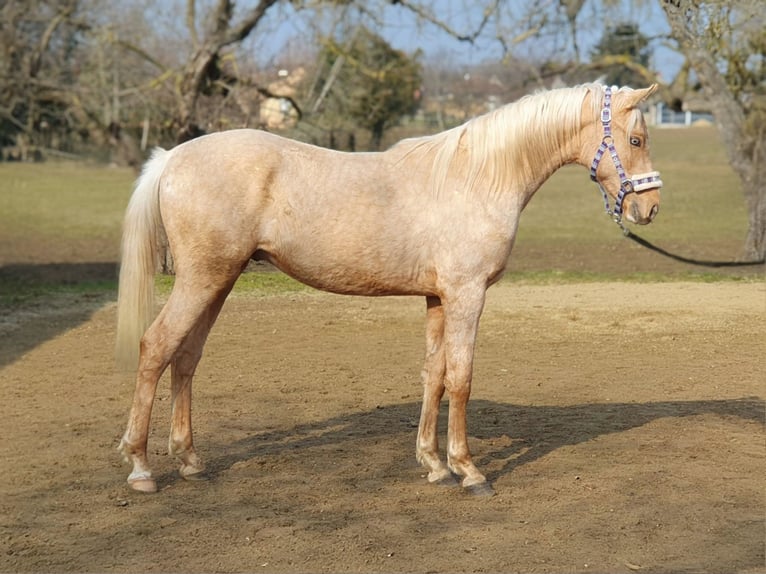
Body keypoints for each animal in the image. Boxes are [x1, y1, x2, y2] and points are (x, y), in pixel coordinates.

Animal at [115, 83, 664, 498]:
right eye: (637, 139)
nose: (650, 208)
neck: (477, 177)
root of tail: (171, 157)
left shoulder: (439, 298)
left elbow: (434, 375)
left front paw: (434, 464)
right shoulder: (467, 294)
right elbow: (461, 378)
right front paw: (469, 471)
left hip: (219, 281)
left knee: (186, 358)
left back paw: (190, 460)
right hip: (202, 279)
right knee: (155, 348)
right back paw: (141, 468)